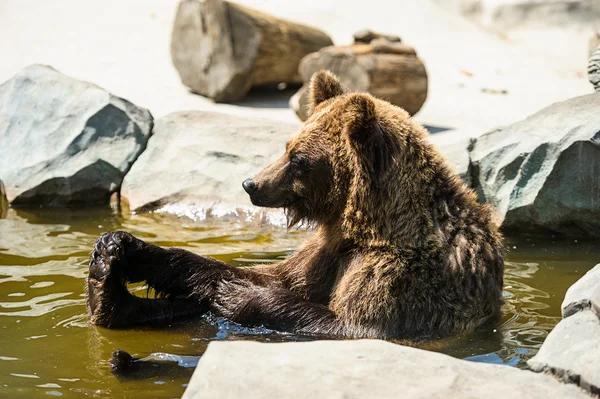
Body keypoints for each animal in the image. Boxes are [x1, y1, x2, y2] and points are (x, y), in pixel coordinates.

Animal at [86, 71, 504, 340]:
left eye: (299, 159)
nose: (251, 184)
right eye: (287, 146)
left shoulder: (401, 275)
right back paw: (105, 279)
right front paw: (130, 248)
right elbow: (271, 275)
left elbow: (354, 325)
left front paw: (235, 294)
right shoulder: (326, 253)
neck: (365, 225)